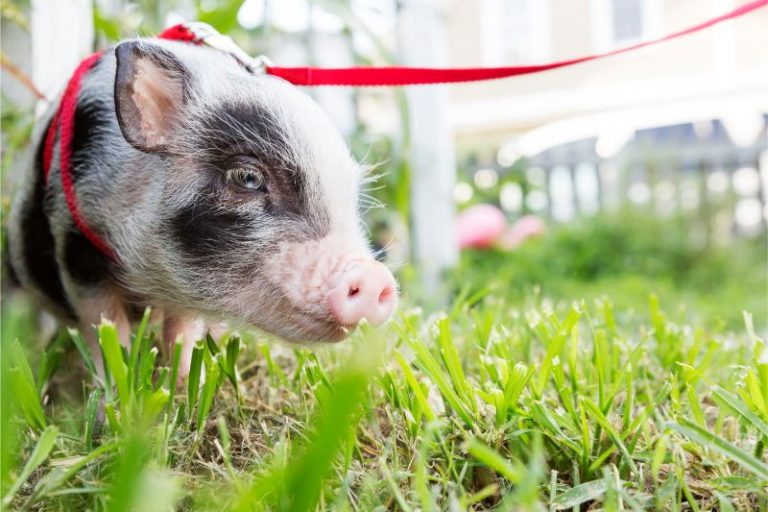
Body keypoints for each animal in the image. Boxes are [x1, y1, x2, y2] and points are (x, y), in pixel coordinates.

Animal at [6, 36, 398, 376]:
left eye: (350, 196)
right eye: (247, 177)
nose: (376, 276)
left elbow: (181, 331)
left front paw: (183, 387)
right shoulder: (76, 248)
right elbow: (105, 330)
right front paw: (113, 400)